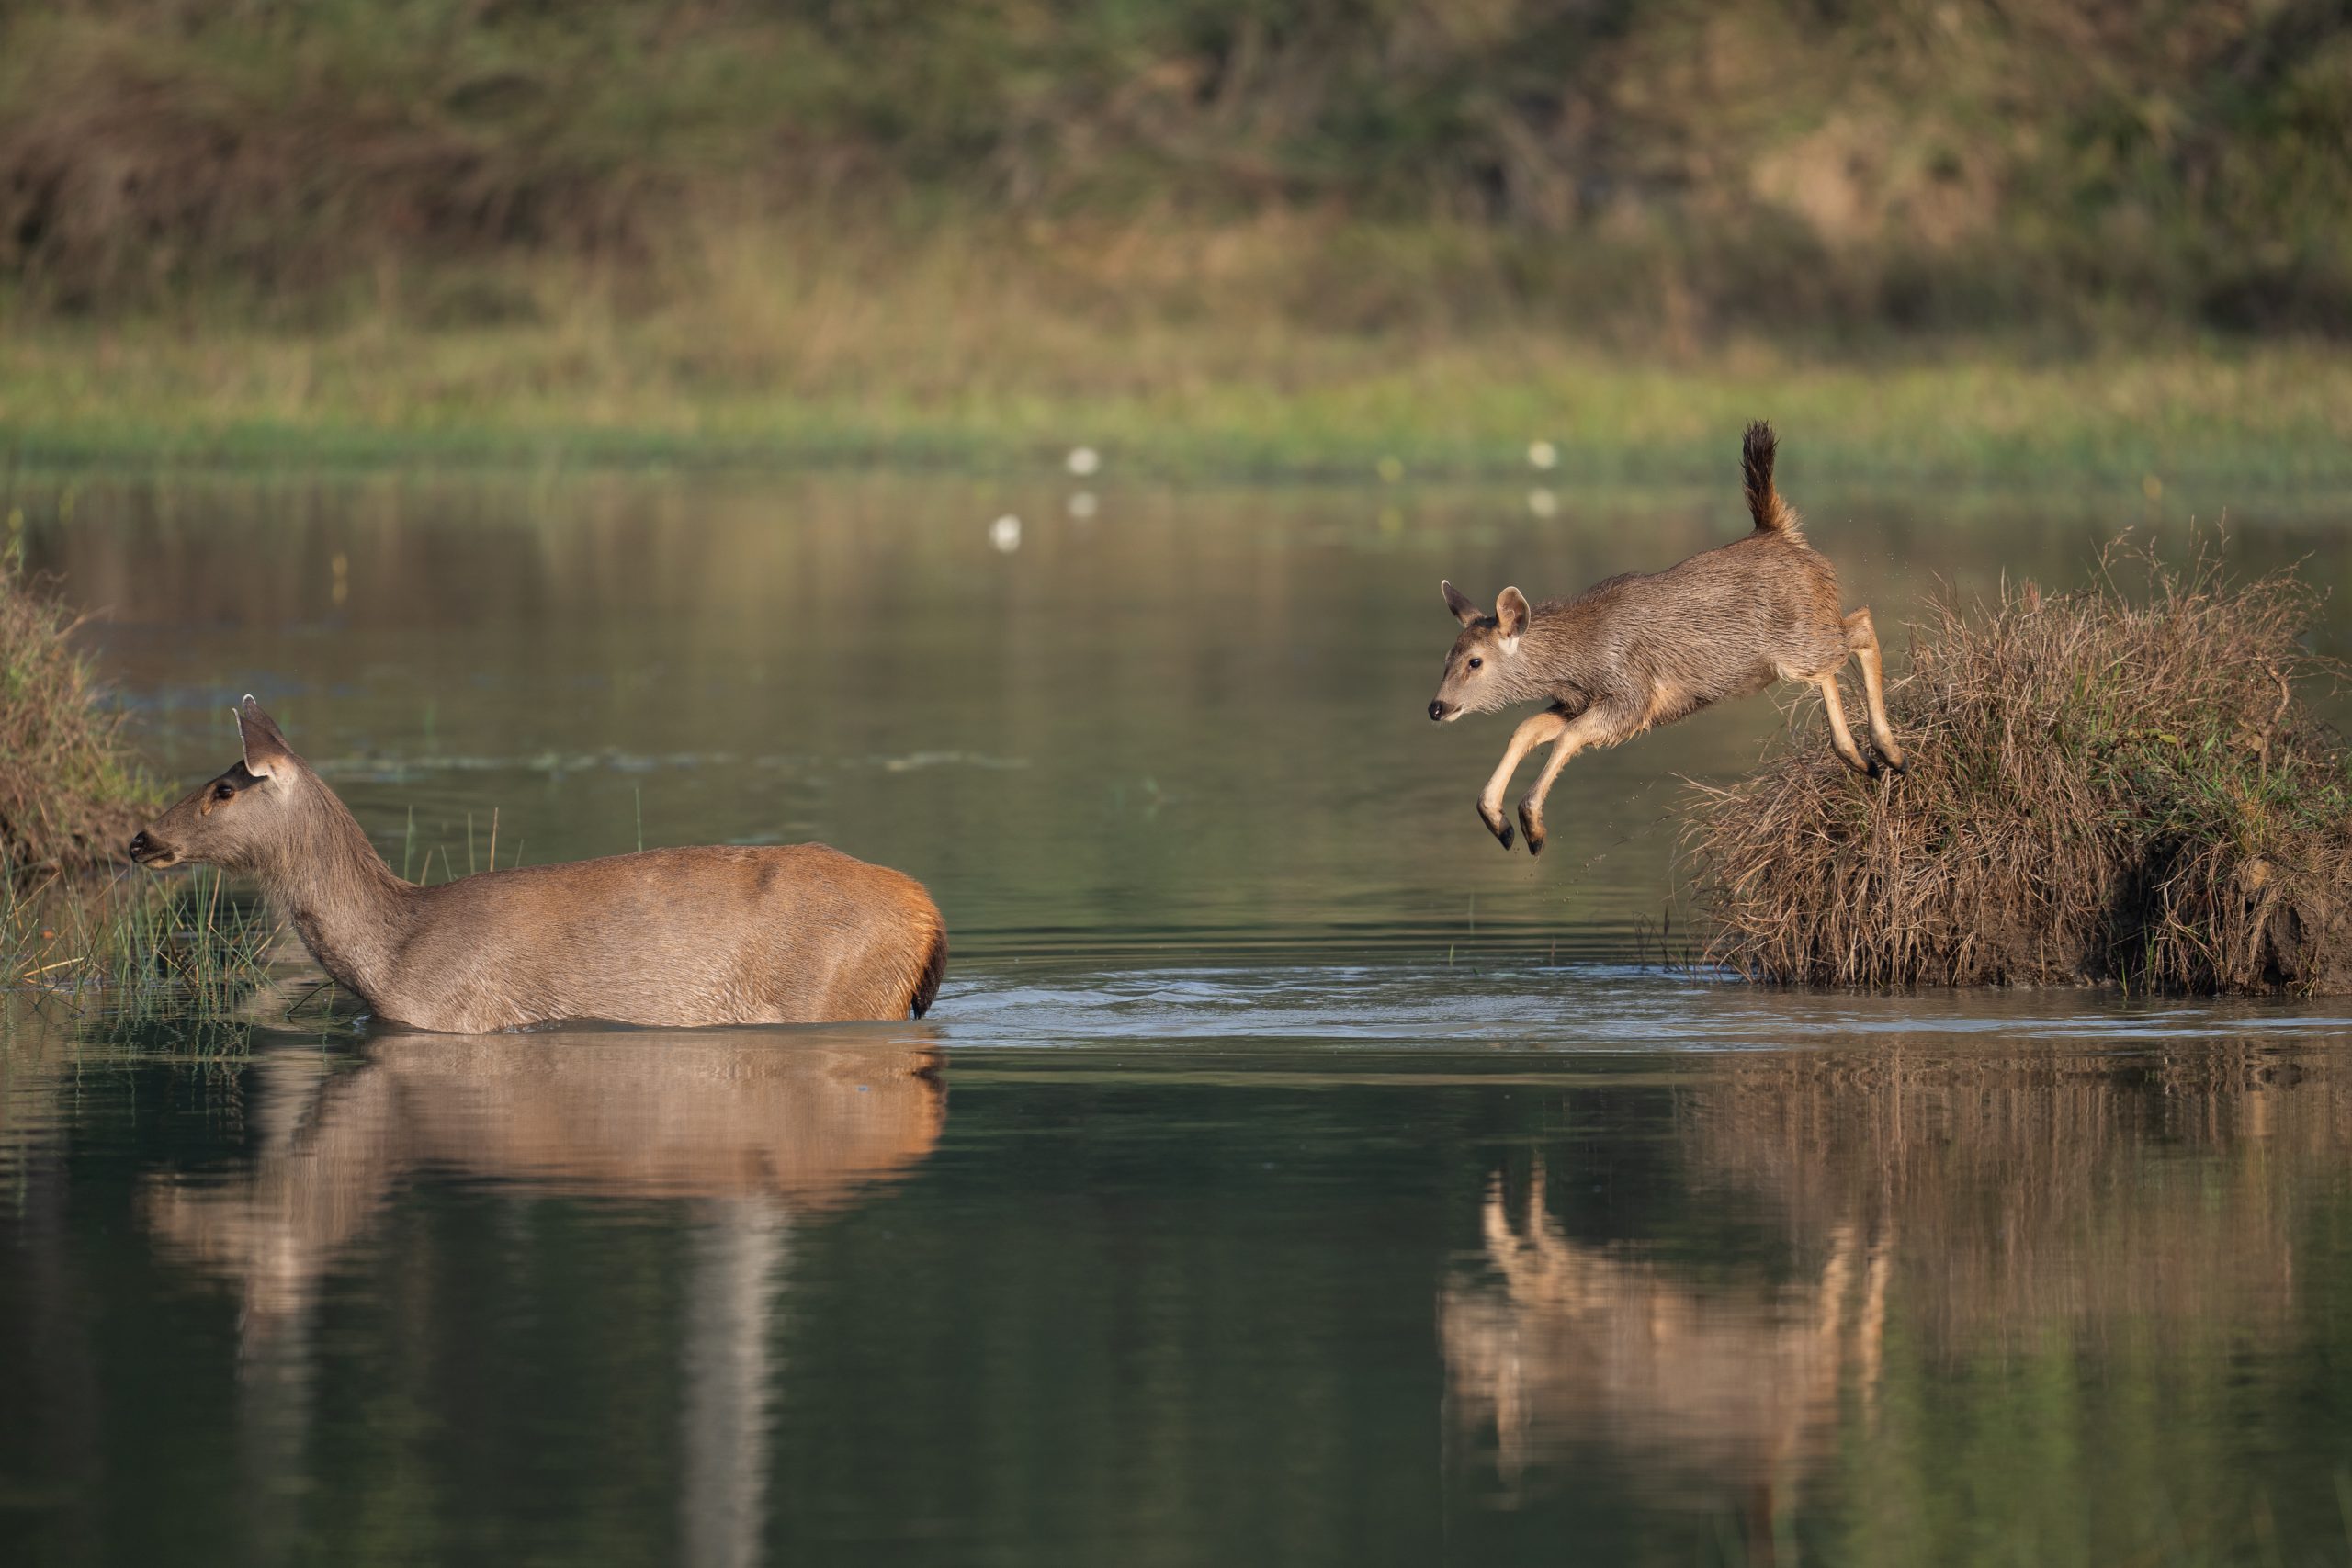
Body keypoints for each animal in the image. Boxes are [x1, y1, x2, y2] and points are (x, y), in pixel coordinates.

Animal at [130, 700, 945, 1029]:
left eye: (224, 787)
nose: (139, 838)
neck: (393, 947)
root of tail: (928, 912)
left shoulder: (454, 1015)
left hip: (841, 989)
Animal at [1420, 421, 1900, 860]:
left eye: (1475, 661)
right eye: (1446, 657)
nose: (1437, 707)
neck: (1580, 657)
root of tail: (1785, 536)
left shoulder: (1633, 697)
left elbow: (1569, 736)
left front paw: (1532, 825)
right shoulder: (1576, 701)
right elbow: (1526, 729)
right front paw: (1499, 822)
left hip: (1799, 638)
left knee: (1860, 625)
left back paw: (1889, 752)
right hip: (1799, 642)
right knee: (1836, 659)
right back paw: (1860, 756)